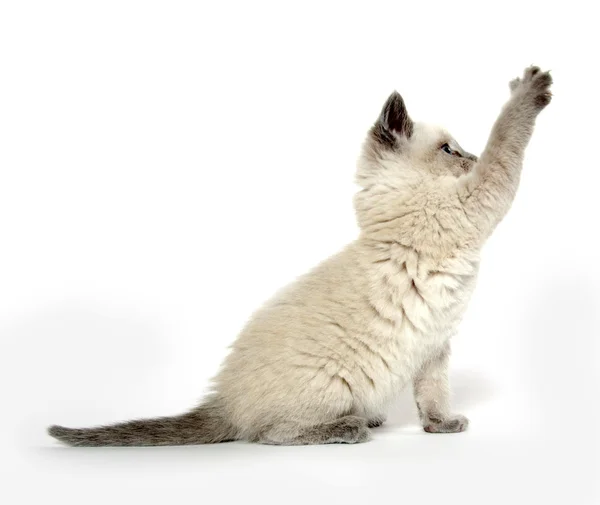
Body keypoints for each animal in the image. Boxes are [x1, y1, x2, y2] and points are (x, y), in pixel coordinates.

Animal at [48, 66, 552, 444]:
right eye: (449, 150)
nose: (469, 158)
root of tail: (224, 402)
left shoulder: (433, 347)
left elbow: (434, 393)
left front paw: (441, 426)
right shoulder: (481, 196)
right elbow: (506, 142)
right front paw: (529, 90)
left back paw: (368, 418)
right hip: (330, 385)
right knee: (268, 433)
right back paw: (351, 427)